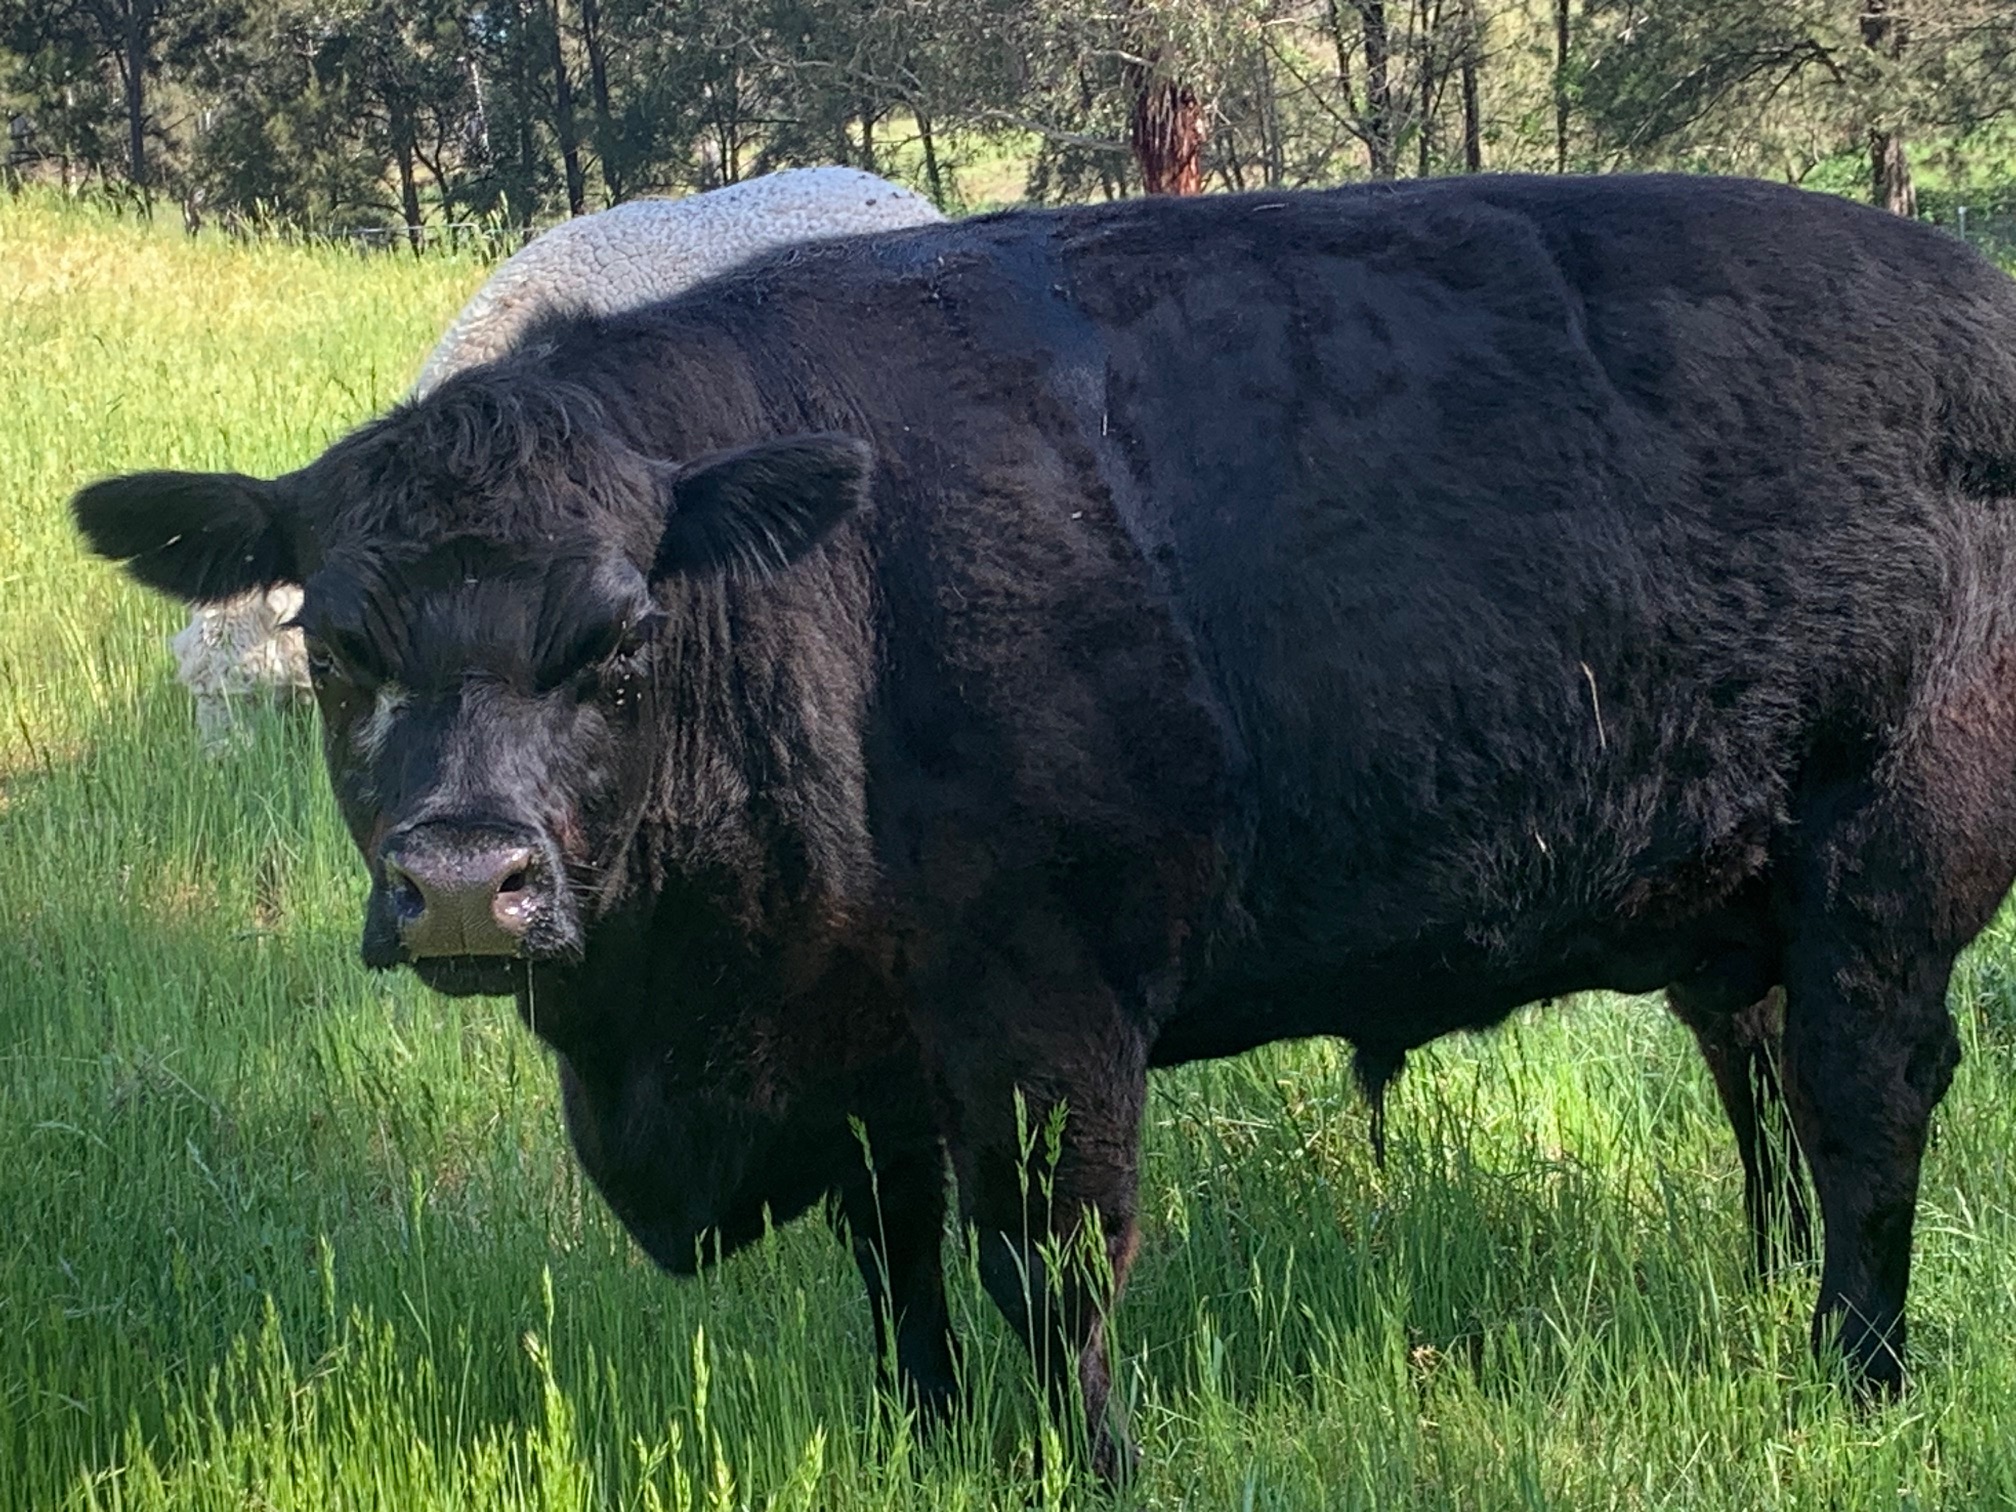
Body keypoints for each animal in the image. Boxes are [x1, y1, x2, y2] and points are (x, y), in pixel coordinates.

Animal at [71, 173, 2016, 1478]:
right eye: (338, 637)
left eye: (620, 632)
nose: (470, 881)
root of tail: (1977, 308)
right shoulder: (861, 1051)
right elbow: (897, 1265)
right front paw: (920, 1440)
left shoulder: (1043, 1021)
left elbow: (1052, 1269)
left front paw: (1089, 1469)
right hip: (1736, 903)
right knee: (1761, 1092)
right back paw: (1763, 1303)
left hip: (1879, 877)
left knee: (1862, 1107)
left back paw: (1855, 1376)